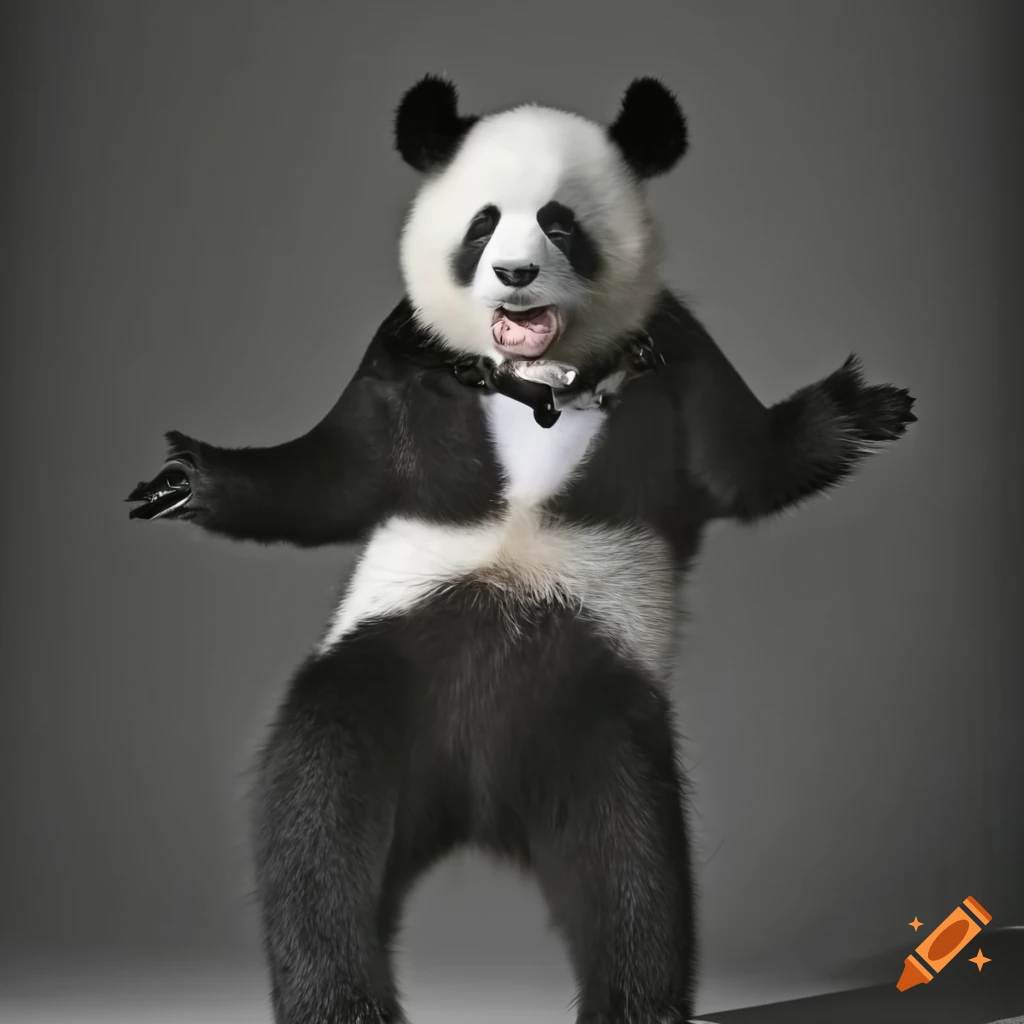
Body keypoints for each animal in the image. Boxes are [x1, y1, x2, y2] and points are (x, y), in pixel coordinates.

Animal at [127, 76, 916, 1024]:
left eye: (560, 223)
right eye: (482, 224)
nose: (515, 276)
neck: (537, 384)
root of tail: (476, 801)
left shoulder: (680, 352)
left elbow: (743, 466)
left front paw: (861, 411)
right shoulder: (397, 361)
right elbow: (333, 477)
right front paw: (184, 482)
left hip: (593, 711)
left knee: (633, 862)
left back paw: (635, 1001)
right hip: (382, 675)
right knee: (315, 816)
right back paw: (340, 998)